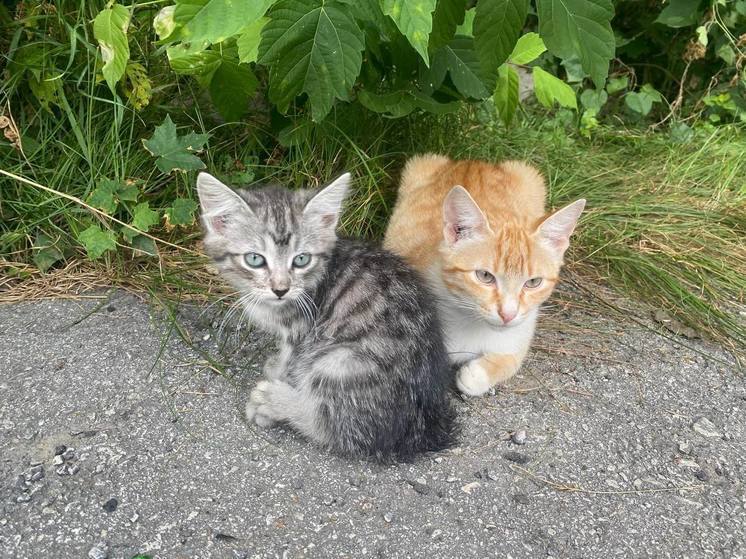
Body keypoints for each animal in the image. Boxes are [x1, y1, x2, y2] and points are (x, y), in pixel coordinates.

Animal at [196, 173, 454, 462]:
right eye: (254, 259)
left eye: (301, 260)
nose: (280, 289)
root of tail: (421, 430)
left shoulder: (302, 330)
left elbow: (292, 360)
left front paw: (279, 375)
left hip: (339, 362)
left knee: (330, 426)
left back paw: (273, 402)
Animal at [380, 155, 584, 396]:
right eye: (485, 276)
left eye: (533, 282)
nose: (508, 314)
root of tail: (473, 161)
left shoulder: (522, 331)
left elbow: (510, 360)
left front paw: (475, 374)